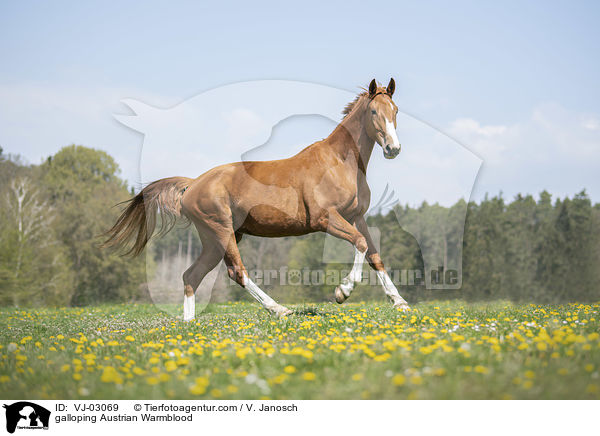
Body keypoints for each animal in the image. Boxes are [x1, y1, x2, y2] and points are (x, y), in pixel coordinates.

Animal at [105, 78, 410, 318]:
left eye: (395, 110)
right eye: (373, 111)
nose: (393, 149)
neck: (339, 162)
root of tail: (192, 186)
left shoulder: (356, 217)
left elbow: (374, 255)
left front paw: (400, 302)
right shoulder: (326, 219)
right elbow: (360, 244)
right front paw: (342, 291)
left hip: (216, 239)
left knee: (192, 275)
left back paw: (189, 325)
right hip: (221, 231)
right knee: (238, 272)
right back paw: (279, 309)